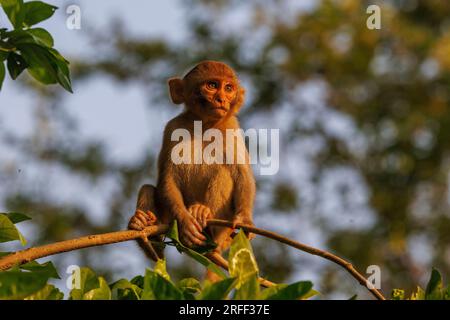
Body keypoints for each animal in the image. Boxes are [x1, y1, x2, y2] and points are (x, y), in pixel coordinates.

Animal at [129, 60, 256, 280]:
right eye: (212, 85)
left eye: (228, 88)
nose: (222, 98)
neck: (204, 125)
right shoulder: (173, 127)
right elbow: (167, 178)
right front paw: (185, 221)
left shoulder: (232, 129)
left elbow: (243, 176)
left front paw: (245, 219)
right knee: (148, 188)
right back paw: (146, 232)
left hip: (225, 233)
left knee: (224, 175)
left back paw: (204, 218)